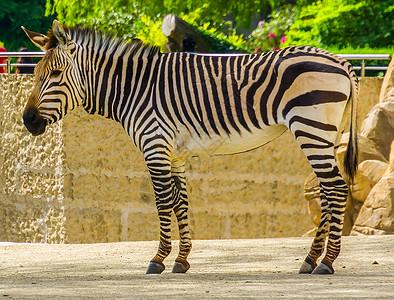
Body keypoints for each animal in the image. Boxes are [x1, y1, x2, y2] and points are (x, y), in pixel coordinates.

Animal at [23, 20, 358, 274]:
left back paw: (326, 262)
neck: (133, 89)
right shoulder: (175, 154)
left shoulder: (155, 146)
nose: (27, 120)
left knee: (336, 188)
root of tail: (340, 61)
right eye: (35, 74)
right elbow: (180, 202)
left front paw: (157, 260)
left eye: (55, 74)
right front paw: (181, 260)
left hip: (310, 127)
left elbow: (162, 203)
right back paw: (310, 259)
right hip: (324, 133)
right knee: (325, 191)